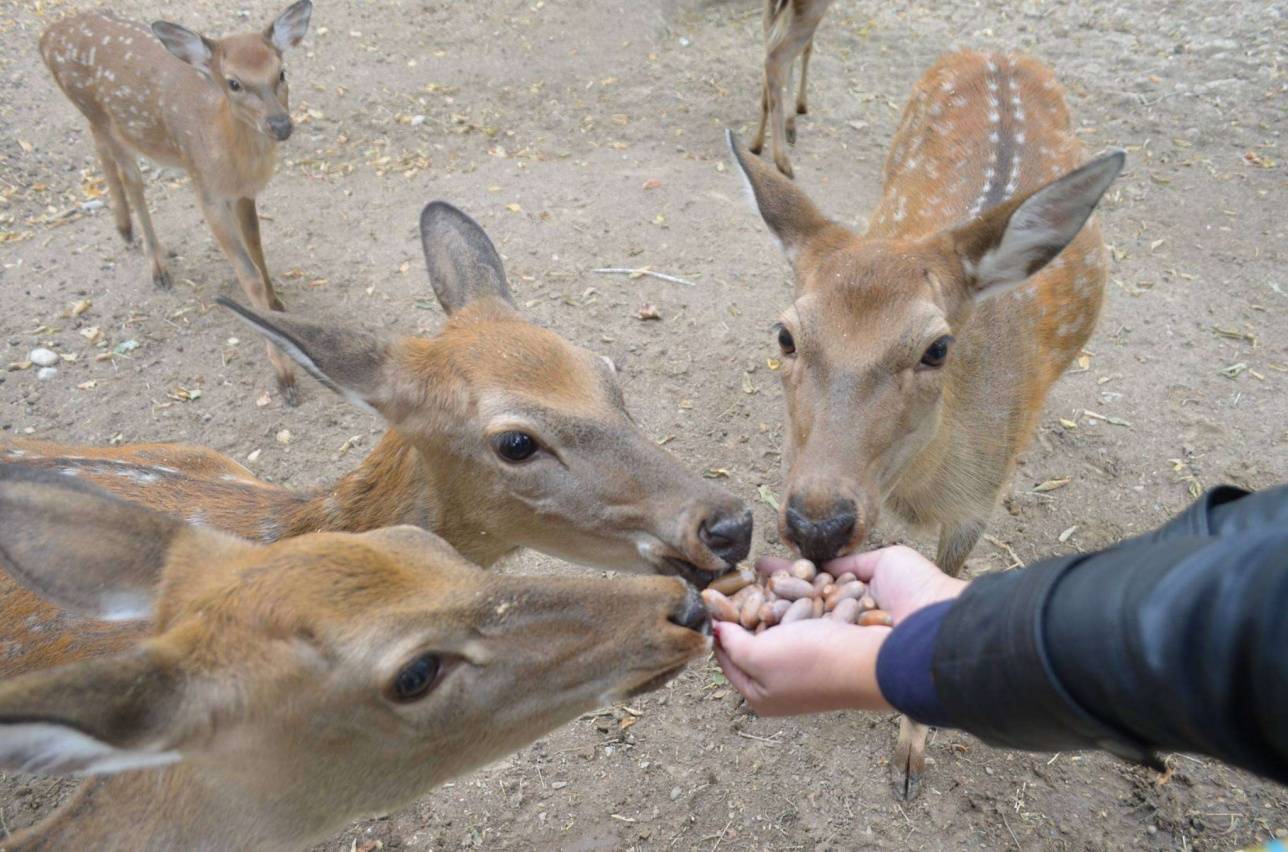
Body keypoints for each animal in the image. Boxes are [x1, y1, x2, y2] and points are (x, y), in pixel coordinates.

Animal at [40, 3, 314, 404]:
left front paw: (277, 304)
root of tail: (46, 36)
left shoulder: (244, 192)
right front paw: (284, 376)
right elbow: (247, 275)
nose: (280, 124)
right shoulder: (206, 190)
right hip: (103, 115)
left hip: (102, 120)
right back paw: (156, 264)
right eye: (234, 82)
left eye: (281, 71)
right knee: (132, 178)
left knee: (99, 148)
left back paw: (124, 229)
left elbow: (257, 246)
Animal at [731, 51, 1123, 799]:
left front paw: (910, 752)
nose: (817, 522)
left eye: (937, 349)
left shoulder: (976, 504)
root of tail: (1001, 50)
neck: (919, 488)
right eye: (786, 335)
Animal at [747, 0, 834, 177]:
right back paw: (783, 162)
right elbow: (807, 48)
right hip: (812, 8)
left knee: (769, 51)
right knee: (775, 60)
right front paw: (801, 106)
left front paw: (791, 122)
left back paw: (756, 144)